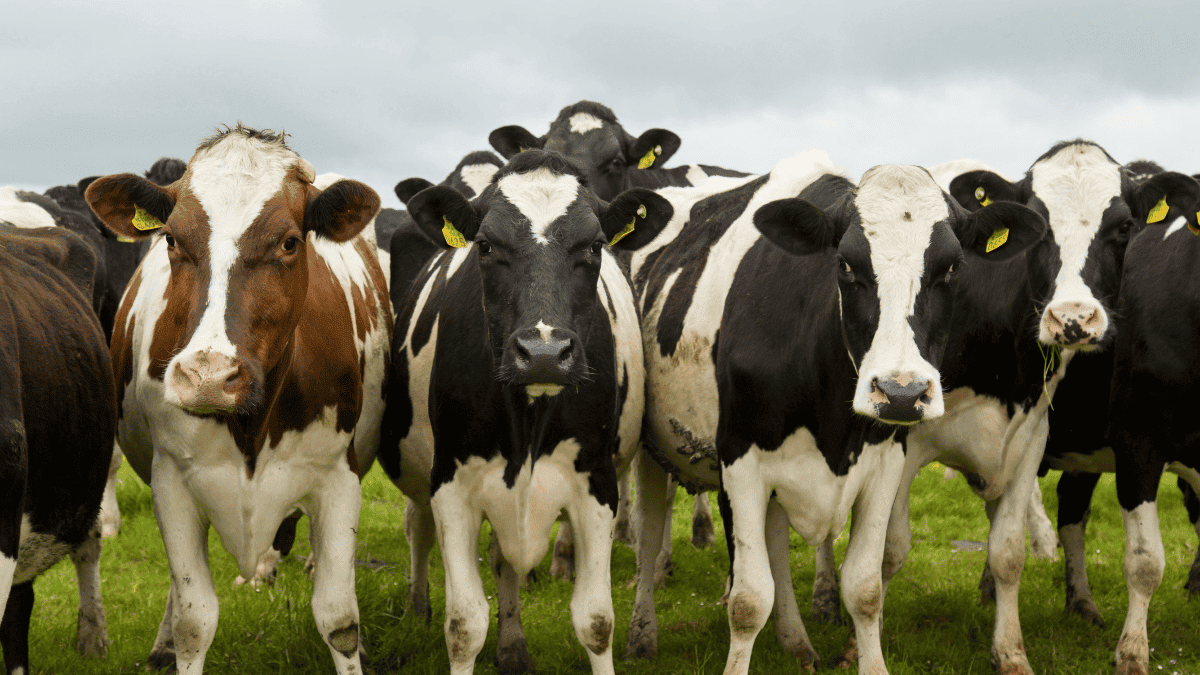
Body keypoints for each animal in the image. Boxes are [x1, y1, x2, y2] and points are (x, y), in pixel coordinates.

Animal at [85, 124, 390, 674]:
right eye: (171, 238)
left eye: (290, 242)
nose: (208, 377)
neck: (253, 425)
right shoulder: (172, 483)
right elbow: (194, 620)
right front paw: (175, 642)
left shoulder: (339, 477)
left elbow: (339, 618)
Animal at [377, 149, 673, 675]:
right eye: (485, 246)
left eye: (595, 245)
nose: (543, 352)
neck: (528, 420)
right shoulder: (451, 485)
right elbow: (464, 625)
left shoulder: (597, 483)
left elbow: (596, 620)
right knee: (420, 530)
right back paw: (417, 609)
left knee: (502, 560)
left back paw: (513, 646)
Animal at [628, 150, 1047, 673]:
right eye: (846, 265)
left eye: (952, 268)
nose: (902, 392)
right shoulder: (740, 461)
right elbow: (749, 599)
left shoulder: (886, 463)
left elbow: (864, 589)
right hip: (648, 448)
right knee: (648, 534)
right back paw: (642, 635)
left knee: (775, 545)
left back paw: (795, 642)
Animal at [875, 142, 1200, 675]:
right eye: (1039, 226)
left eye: (1124, 226)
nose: (1073, 319)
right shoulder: (1137, 442)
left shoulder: (1030, 437)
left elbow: (1009, 548)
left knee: (1068, 509)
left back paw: (1077, 602)